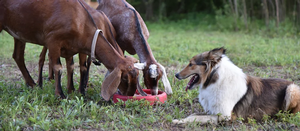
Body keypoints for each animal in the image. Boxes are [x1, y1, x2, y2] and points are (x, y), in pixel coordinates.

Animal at [0, 0, 144, 100]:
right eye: (124, 78)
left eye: (137, 76)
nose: (129, 95)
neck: (79, 19)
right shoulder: (53, 40)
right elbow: (58, 67)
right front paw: (61, 94)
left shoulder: (73, 47)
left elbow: (74, 67)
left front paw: (74, 90)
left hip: (19, 33)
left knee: (18, 56)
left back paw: (32, 84)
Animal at [172, 46, 300, 124]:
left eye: (191, 64)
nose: (176, 75)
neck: (214, 79)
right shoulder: (212, 110)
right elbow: (194, 114)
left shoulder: (225, 115)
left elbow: (195, 117)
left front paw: (178, 121)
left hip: (292, 89)